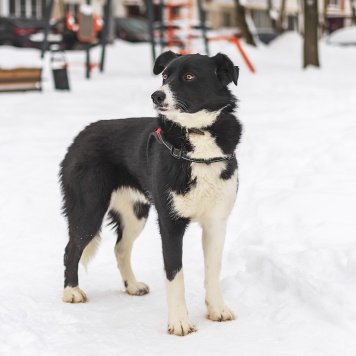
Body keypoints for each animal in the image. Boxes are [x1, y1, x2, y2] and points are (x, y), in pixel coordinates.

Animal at [60, 50, 242, 336]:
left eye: (189, 76)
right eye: (165, 76)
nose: (156, 96)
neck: (197, 137)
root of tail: (82, 134)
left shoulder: (216, 222)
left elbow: (213, 270)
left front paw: (217, 309)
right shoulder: (170, 223)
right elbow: (175, 274)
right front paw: (179, 322)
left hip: (135, 214)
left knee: (120, 248)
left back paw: (132, 286)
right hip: (88, 209)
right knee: (71, 249)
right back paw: (72, 292)